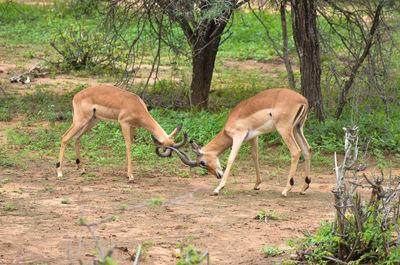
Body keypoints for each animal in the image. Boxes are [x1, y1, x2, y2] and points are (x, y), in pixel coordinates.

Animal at [56, 84, 188, 179]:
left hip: (92, 121)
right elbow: (128, 146)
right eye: (166, 148)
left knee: (76, 137)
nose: (169, 156)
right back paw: (59, 171)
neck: (136, 105)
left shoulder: (133, 126)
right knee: (65, 137)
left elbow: (131, 144)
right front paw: (131, 175)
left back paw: (82, 169)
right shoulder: (124, 123)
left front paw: (126, 171)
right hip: (80, 121)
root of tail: (76, 96)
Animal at [167, 88, 310, 196]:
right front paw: (257, 185)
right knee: (306, 149)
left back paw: (286, 189)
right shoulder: (253, 137)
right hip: (298, 128)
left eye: (202, 162)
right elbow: (255, 156)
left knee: (296, 151)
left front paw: (218, 188)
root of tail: (303, 101)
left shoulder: (238, 136)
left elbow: (231, 158)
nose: (218, 175)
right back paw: (304, 187)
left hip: (284, 130)